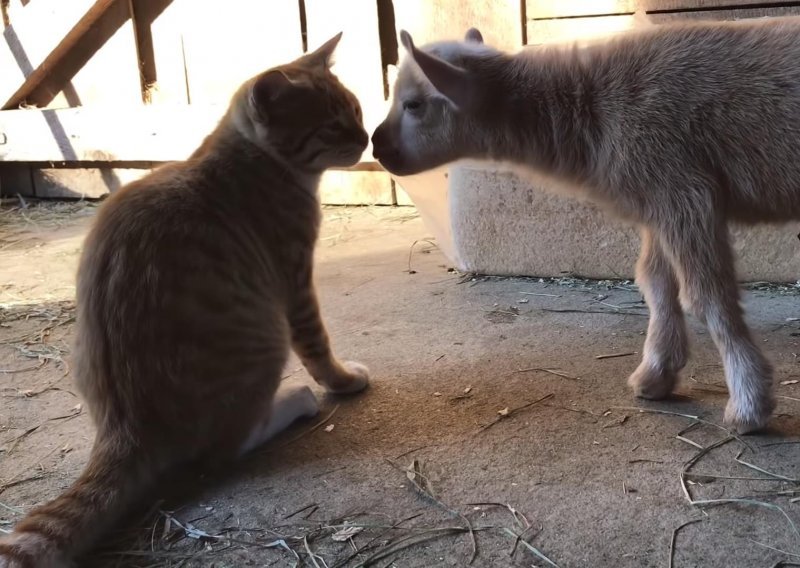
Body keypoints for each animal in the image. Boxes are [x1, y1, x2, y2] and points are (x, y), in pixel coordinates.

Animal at [0, 33, 368, 564]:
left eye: (356, 110)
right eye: (332, 124)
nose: (368, 138)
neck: (253, 158)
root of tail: (124, 429)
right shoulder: (296, 281)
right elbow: (318, 345)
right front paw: (341, 380)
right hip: (267, 338)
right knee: (225, 447)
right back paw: (296, 400)